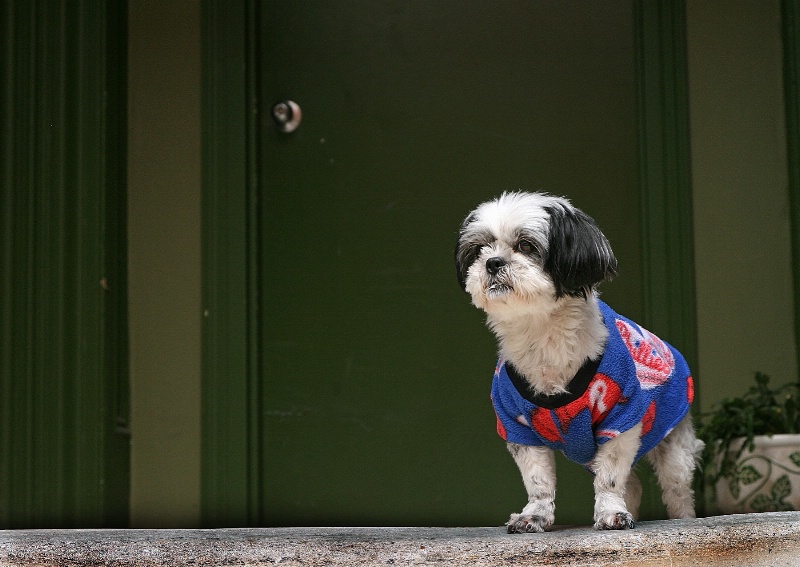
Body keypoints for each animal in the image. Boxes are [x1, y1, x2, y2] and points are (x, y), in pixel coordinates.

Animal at [454, 193, 704, 536]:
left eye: (526, 246)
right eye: (479, 249)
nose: (493, 262)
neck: (543, 335)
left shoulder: (621, 419)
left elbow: (610, 476)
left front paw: (611, 512)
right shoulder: (517, 425)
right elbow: (538, 479)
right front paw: (534, 515)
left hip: (674, 444)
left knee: (676, 488)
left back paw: (683, 519)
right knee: (633, 485)